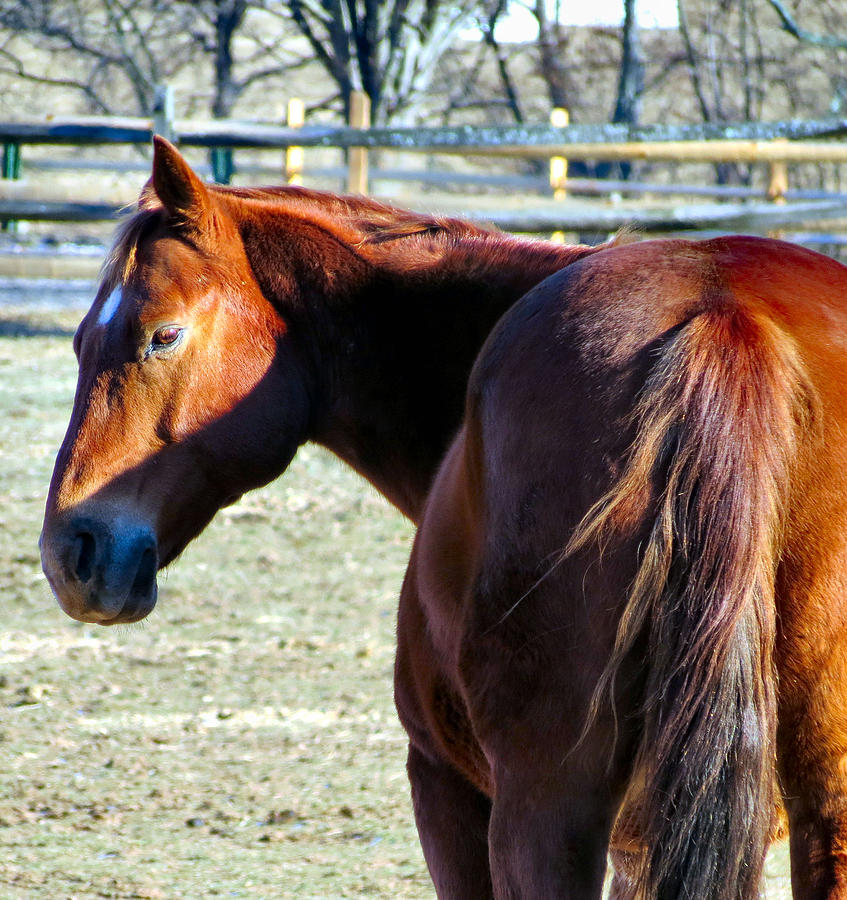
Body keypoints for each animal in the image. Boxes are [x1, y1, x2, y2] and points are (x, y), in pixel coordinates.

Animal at [43, 137, 847, 896]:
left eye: (161, 334)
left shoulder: (444, 785)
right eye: (78, 341)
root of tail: (722, 315)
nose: (68, 555)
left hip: (538, 813)